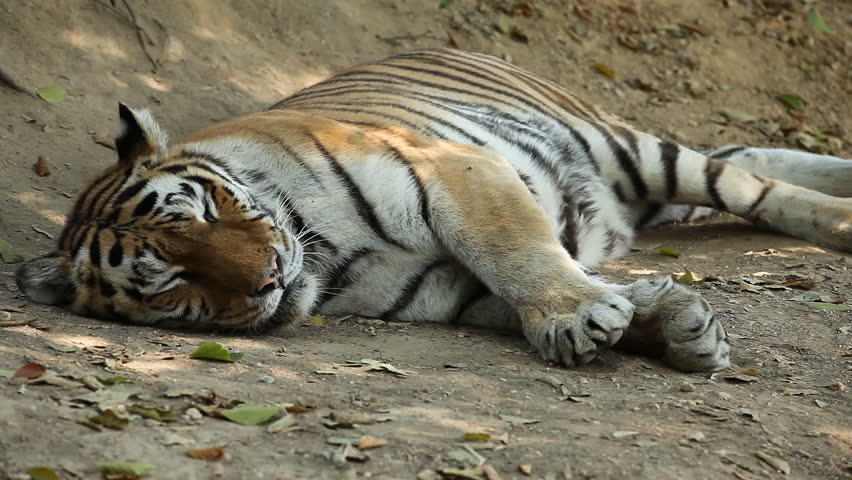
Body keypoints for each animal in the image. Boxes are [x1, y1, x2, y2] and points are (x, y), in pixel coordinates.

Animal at [15, 48, 852, 372]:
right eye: (170, 281)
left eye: (207, 210)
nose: (267, 278)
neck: (327, 257)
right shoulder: (442, 288)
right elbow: (514, 290)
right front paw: (673, 325)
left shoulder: (454, 170)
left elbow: (518, 254)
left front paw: (582, 316)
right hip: (646, 194)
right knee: (751, 161)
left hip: (633, 151)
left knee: (757, 187)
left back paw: (840, 217)